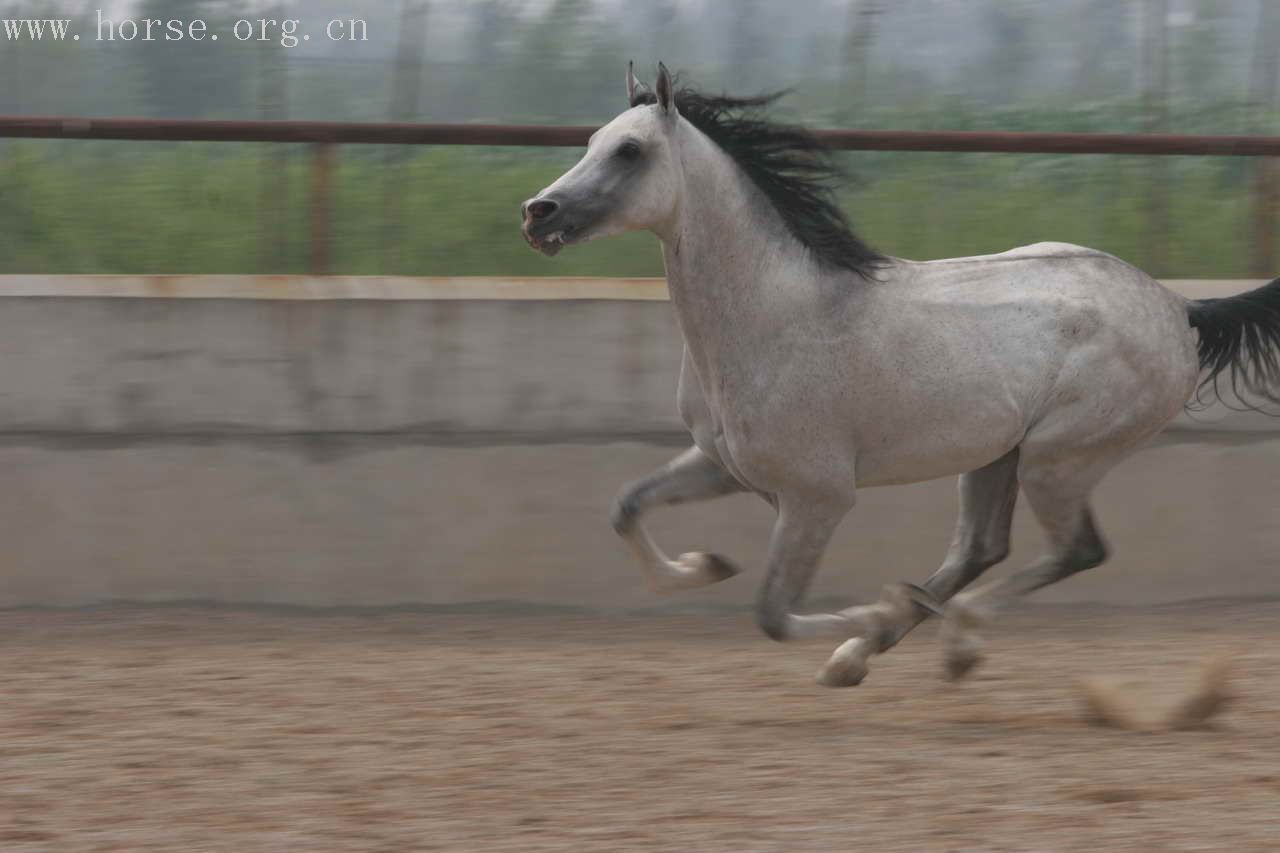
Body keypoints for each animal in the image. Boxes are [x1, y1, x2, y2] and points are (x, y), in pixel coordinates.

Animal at [519, 63, 1280, 686]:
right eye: (592, 141)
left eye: (630, 150)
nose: (538, 213)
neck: (772, 315)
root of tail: (1180, 309)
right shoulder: (721, 464)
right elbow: (626, 506)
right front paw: (708, 564)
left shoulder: (817, 496)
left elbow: (772, 613)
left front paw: (873, 613)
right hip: (996, 457)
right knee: (981, 548)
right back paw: (868, 650)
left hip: (1059, 459)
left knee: (1076, 550)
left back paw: (948, 643)